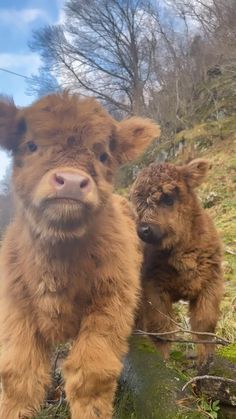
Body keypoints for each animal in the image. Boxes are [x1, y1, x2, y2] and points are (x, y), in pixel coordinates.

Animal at [0, 92, 160, 419]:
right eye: (31, 145)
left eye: (103, 156)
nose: (72, 181)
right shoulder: (15, 309)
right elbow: (19, 376)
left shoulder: (110, 303)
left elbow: (91, 375)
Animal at [131, 159, 225, 362]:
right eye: (138, 202)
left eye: (168, 198)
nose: (144, 229)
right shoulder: (153, 288)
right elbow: (161, 329)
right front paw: (163, 361)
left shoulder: (211, 283)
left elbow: (204, 325)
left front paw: (205, 360)